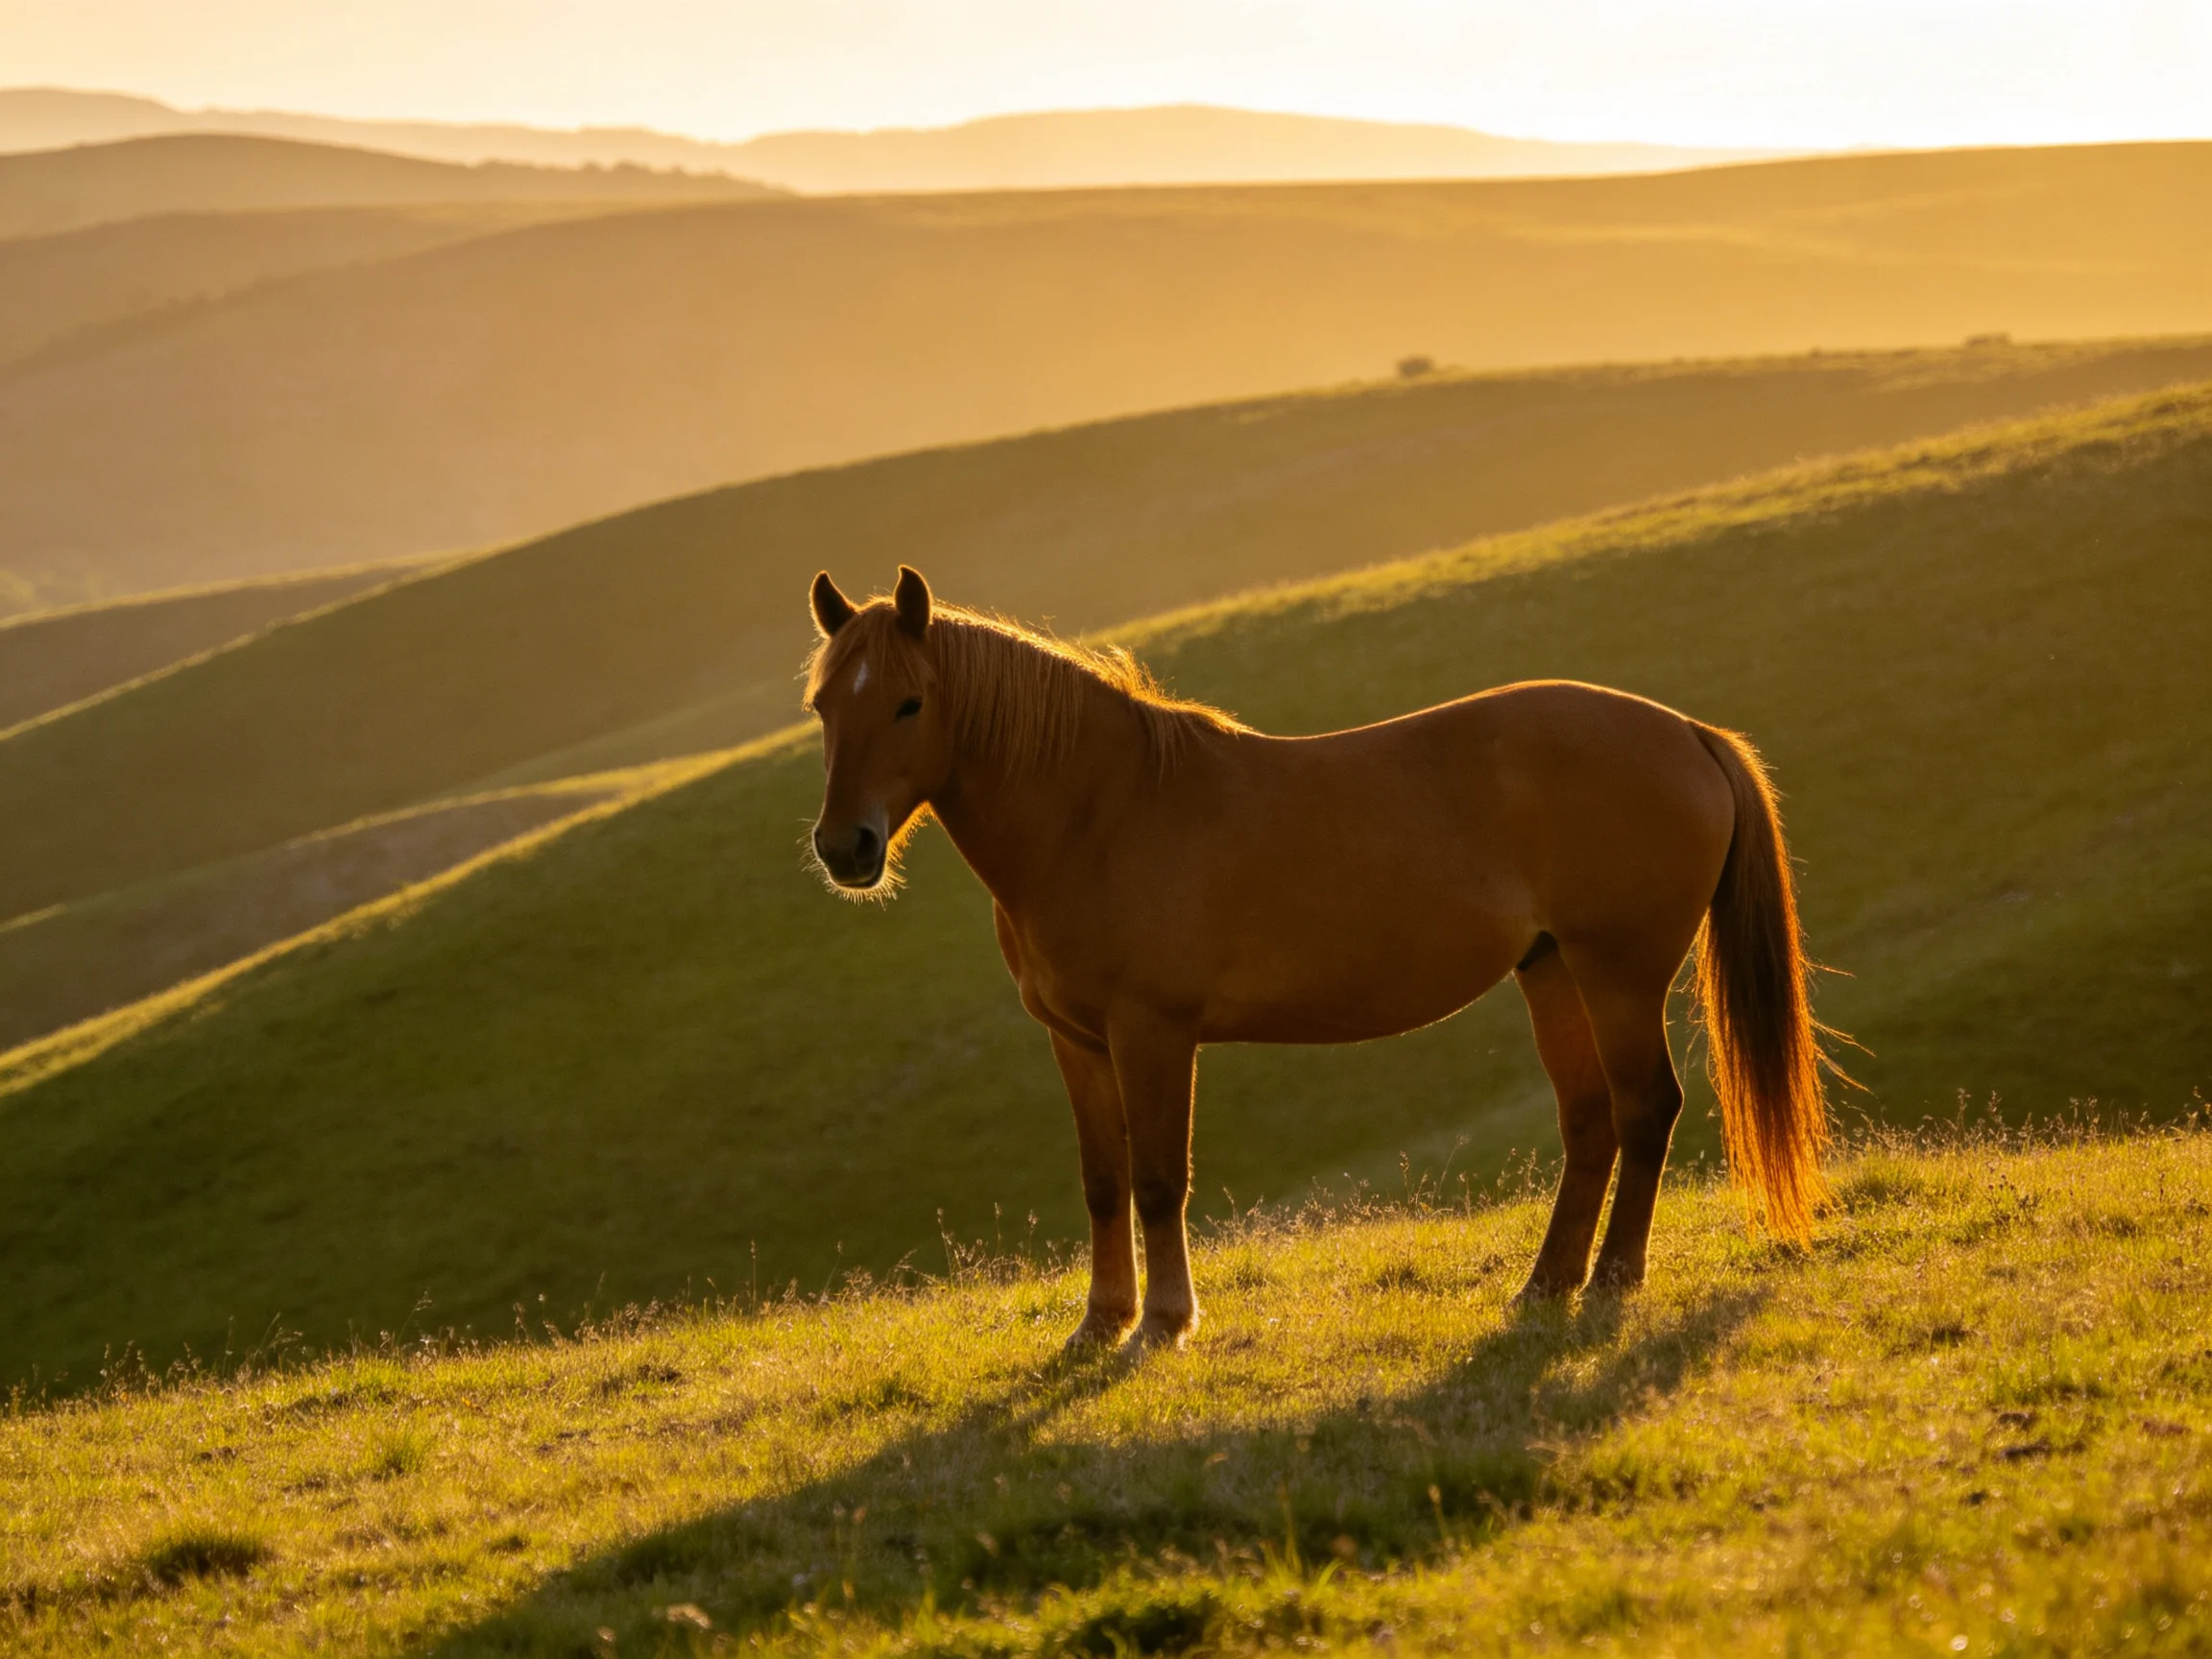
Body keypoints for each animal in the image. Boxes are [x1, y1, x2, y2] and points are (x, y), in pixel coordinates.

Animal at [803, 565, 1832, 1351]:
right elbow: (1103, 1182)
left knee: (1646, 1108)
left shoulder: (1153, 1033)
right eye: (821, 707)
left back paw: (1615, 1277)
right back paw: (1547, 1284)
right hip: (1553, 973)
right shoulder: (1078, 1042)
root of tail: (1688, 733)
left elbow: (1157, 1179)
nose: (845, 848)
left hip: (1617, 975)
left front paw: (1165, 1322)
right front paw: (1101, 1323)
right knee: (1591, 1122)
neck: (1102, 813)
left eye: (910, 703)